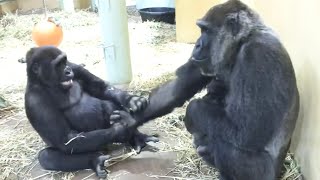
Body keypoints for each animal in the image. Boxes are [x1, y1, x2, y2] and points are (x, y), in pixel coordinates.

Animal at [24, 45, 158, 178]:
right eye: (58, 65)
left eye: (64, 61)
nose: (68, 71)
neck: (43, 82)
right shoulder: (35, 102)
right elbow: (65, 140)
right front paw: (120, 130)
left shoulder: (74, 66)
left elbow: (101, 88)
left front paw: (131, 100)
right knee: (46, 157)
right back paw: (95, 161)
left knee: (109, 104)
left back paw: (137, 138)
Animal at [136, 0, 300, 179]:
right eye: (201, 30)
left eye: (207, 31)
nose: (197, 45)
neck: (241, 42)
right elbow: (179, 87)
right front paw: (129, 122)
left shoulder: (260, 55)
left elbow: (248, 131)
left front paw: (192, 111)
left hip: (266, 174)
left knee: (224, 143)